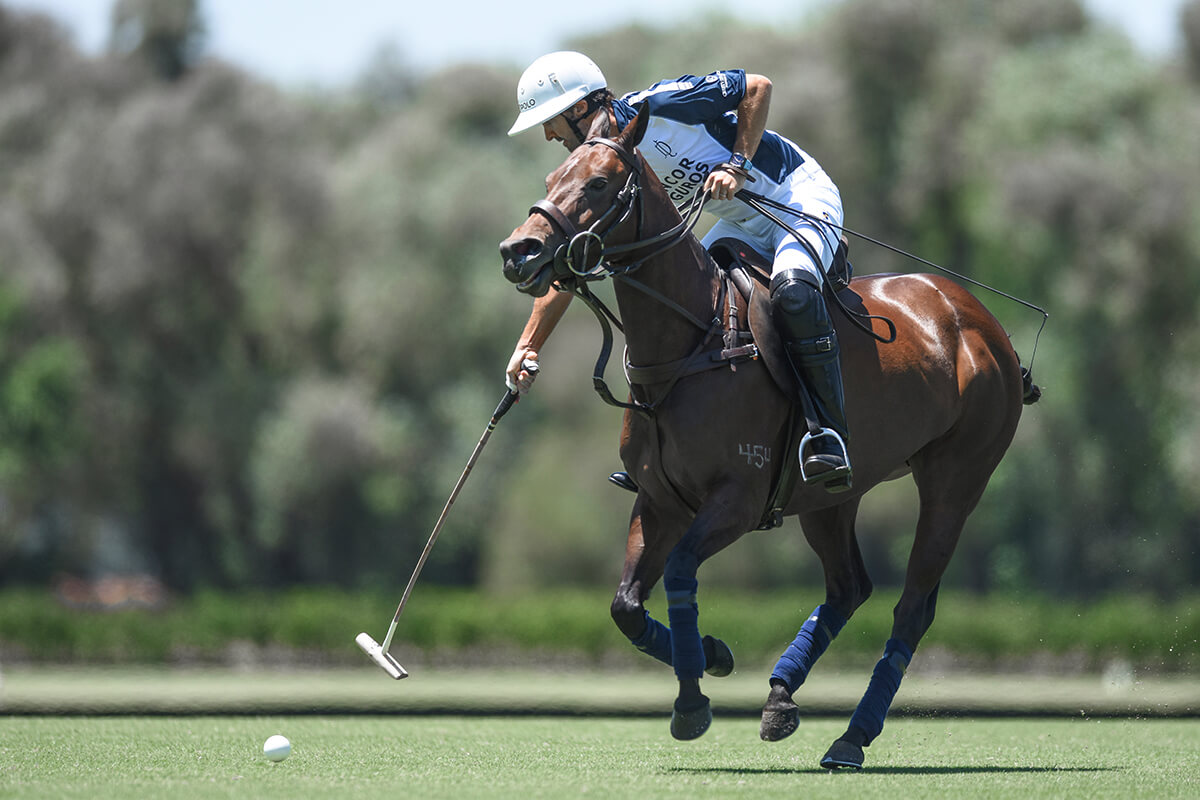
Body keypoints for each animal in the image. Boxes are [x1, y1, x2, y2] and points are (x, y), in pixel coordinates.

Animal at [496, 106, 1032, 767]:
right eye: (552, 177)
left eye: (598, 183)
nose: (518, 251)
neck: (688, 344)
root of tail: (982, 322)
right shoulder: (660, 499)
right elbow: (625, 605)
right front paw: (715, 656)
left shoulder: (738, 497)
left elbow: (679, 572)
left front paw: (693, 701)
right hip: (830, 495)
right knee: (849, 587)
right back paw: (781, 697)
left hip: (956, 479)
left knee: (912, 607)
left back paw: (851, 738)